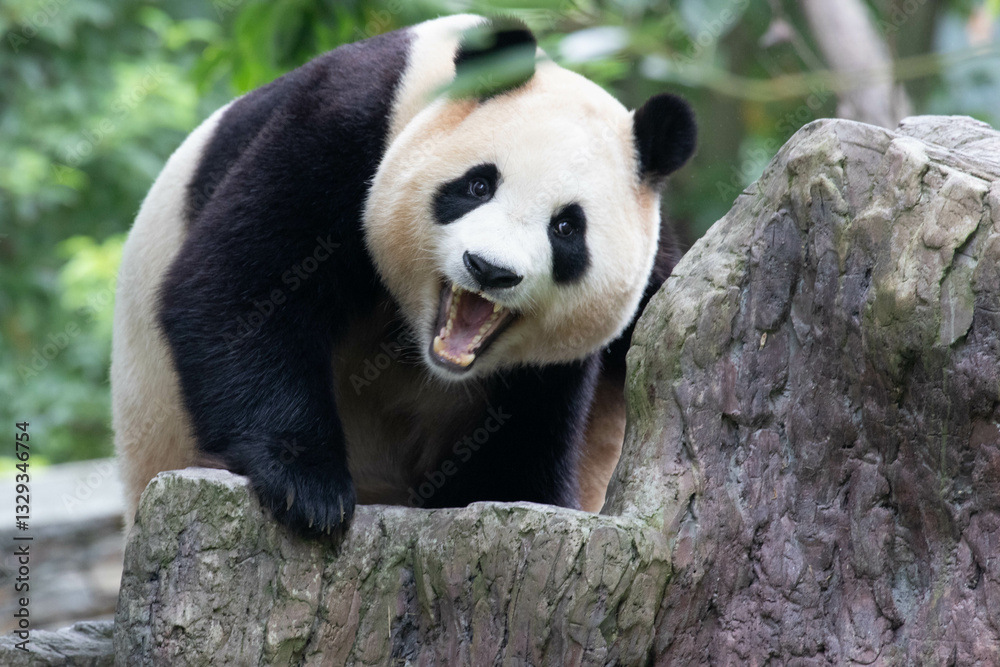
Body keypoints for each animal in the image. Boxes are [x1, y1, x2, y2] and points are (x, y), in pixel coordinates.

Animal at [111, 14, 695, 538]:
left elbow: (526, 433)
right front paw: (309, 490)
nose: (490, 269)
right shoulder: (345, 130)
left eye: (567, 227)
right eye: (478, 185)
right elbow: (242, 287)